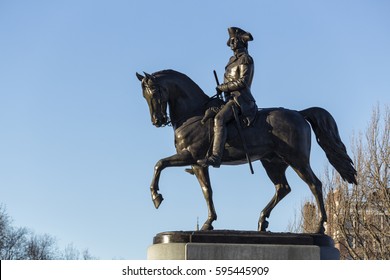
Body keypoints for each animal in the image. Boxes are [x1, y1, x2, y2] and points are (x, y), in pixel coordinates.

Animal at [136, 69, 356, 233]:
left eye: (154, 91)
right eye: (144, 95)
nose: (157, 121)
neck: (194, 114)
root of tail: (299, 114)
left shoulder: (191, 156)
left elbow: (159, 164)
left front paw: (156, 196)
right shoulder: (197, 164)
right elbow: (207, 190)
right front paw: (209, 222)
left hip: (297, 160)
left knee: (315, 184)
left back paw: (319, 227)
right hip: (273, 162)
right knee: (283, 188)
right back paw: (262, 222)